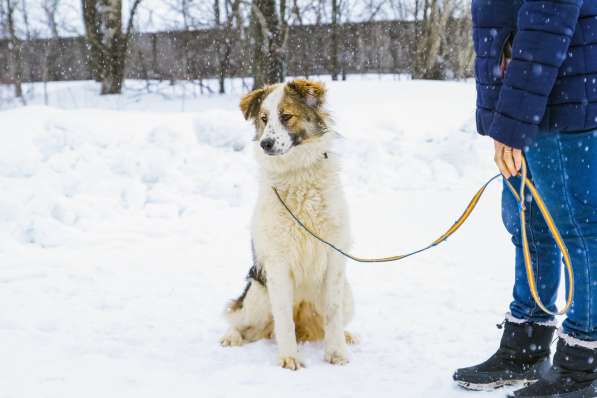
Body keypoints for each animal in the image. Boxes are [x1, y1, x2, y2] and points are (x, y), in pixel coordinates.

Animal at [221, 80, 356, 370]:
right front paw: (288, 357)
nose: (265, 143)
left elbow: (333, 313)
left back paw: (347, 335)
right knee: (239, 320)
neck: (297, 173)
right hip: (258, 296)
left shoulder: (334, 257)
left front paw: (336, 351)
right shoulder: (278, 262)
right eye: (263, 119)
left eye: (286, 116)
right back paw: (231, 337)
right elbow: (283, 318)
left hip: (348, 297)